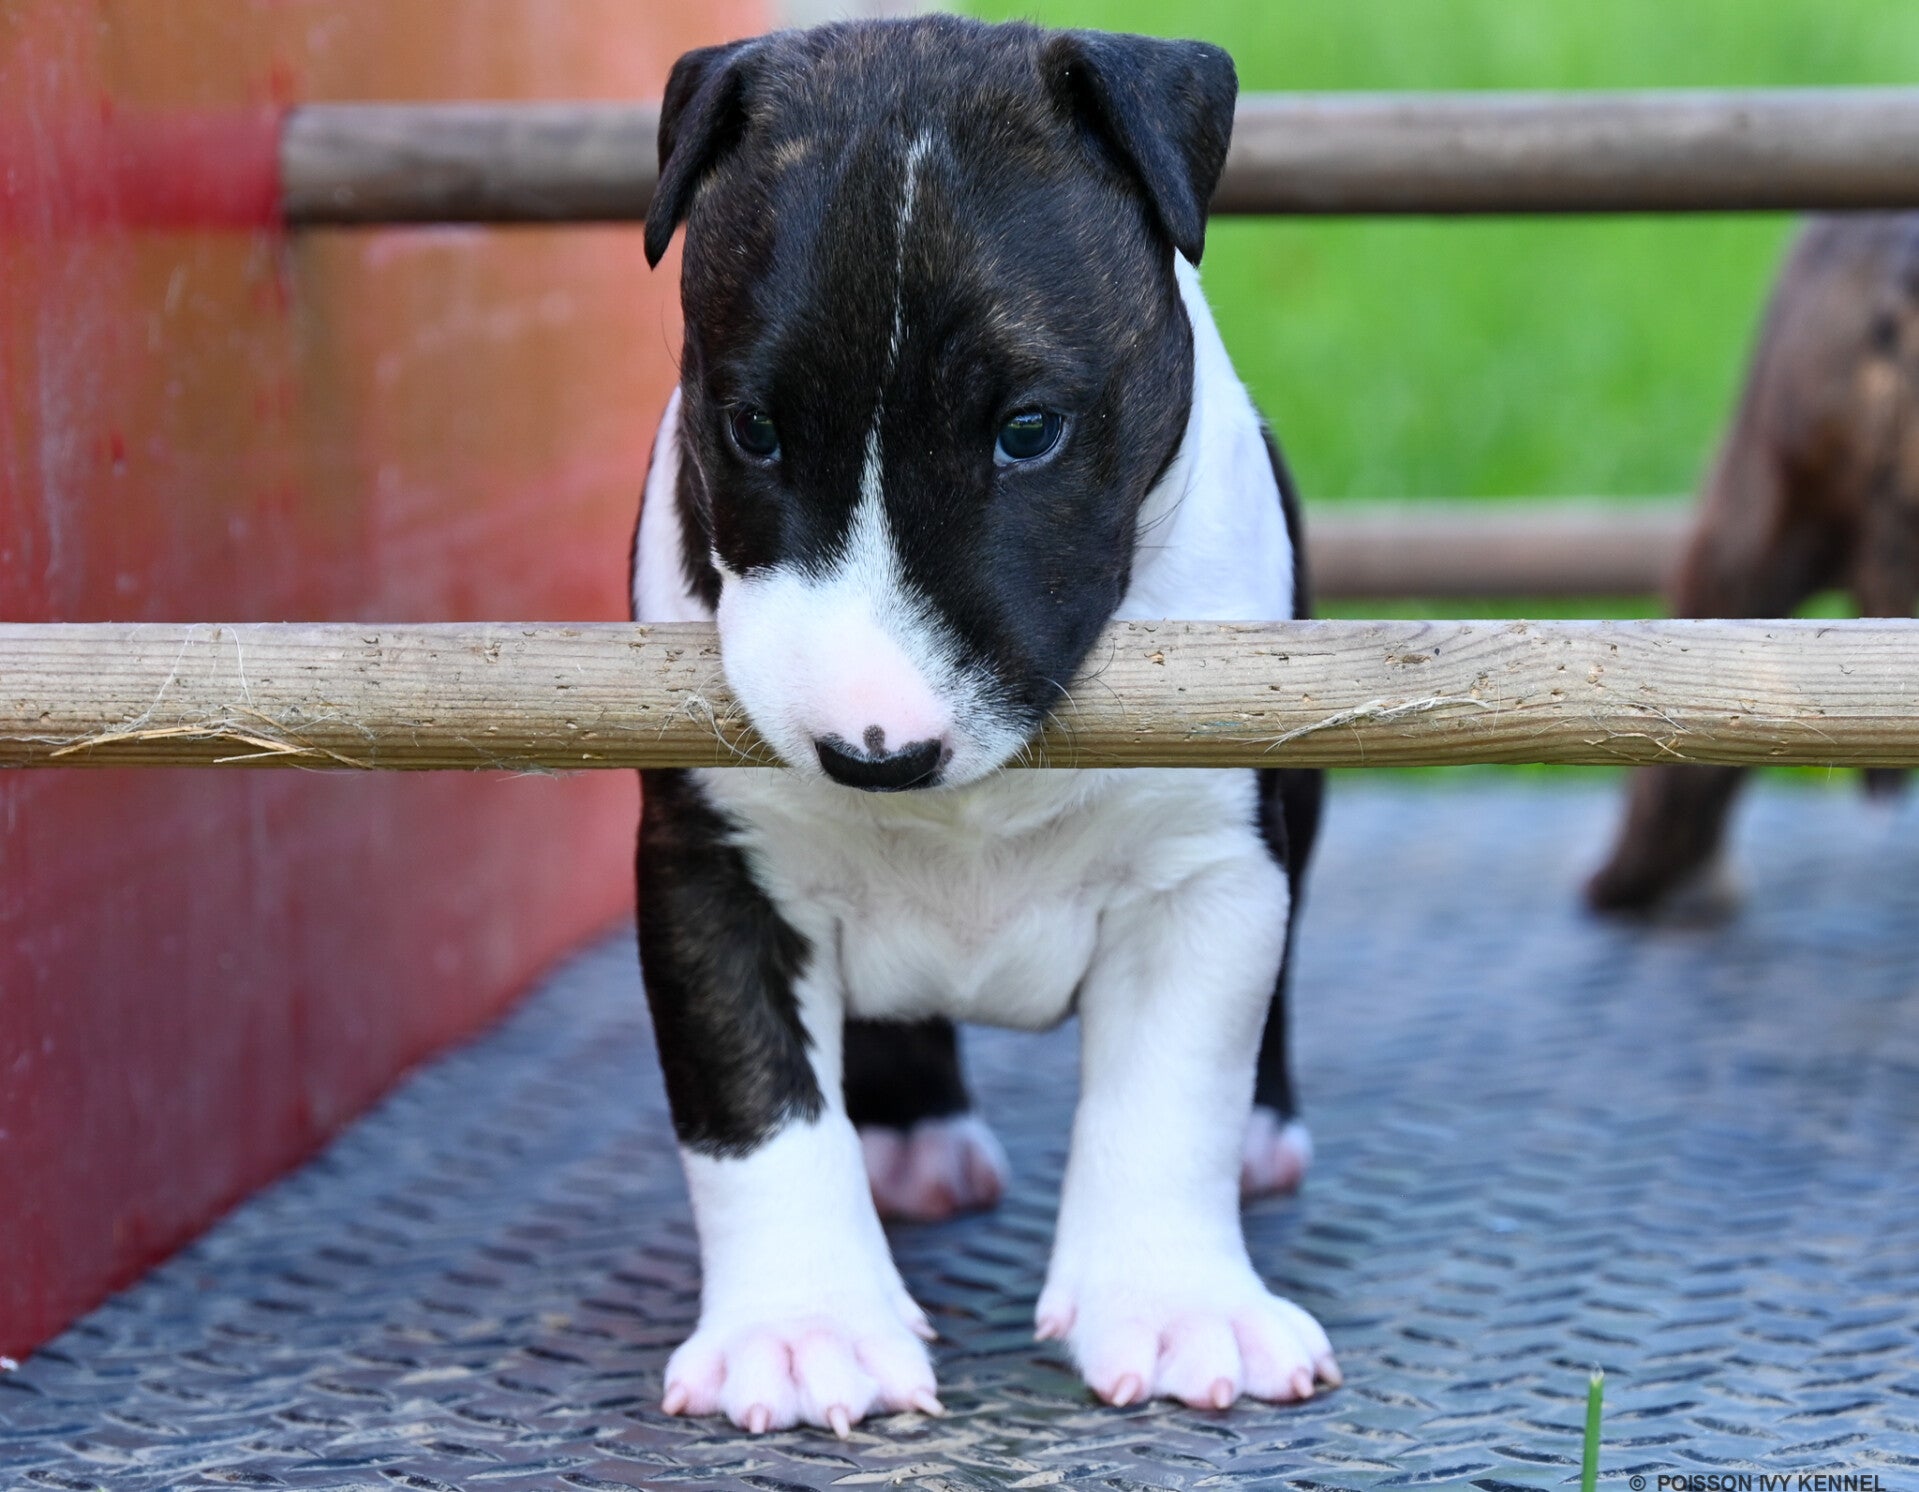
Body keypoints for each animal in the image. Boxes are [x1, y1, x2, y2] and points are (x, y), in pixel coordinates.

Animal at [630, 15, 1336, 1433]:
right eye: (750, 429)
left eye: (1028, 431)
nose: (875, 752)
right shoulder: (707, 865)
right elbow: (751, 1108)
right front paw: (800, 1333)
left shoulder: (1204, 870)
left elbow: (1170, 1095)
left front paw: (1178, 1307)